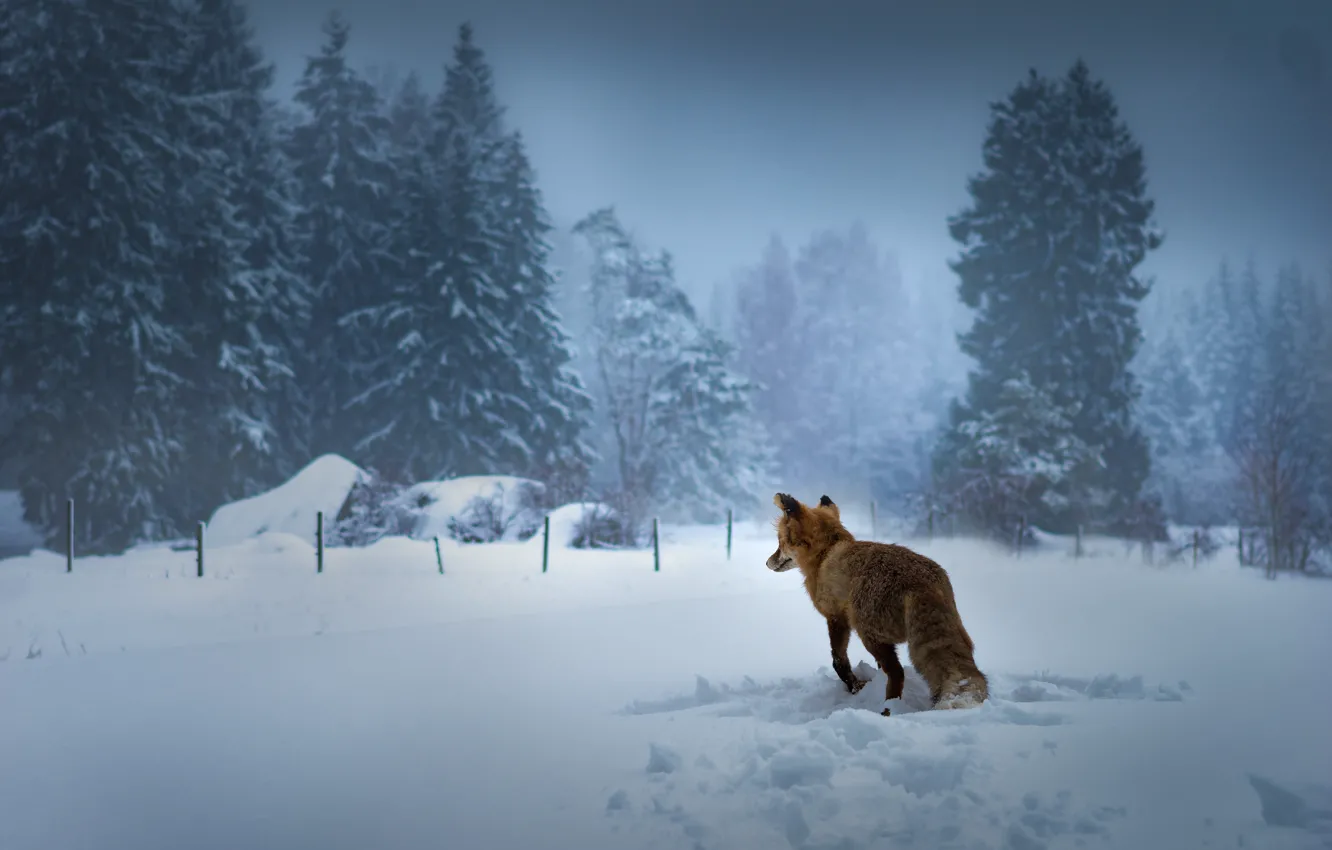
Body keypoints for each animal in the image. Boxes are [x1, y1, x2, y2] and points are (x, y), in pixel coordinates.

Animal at [767, 492, 988, 716]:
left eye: (780, 542)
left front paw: (855, 687)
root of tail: (921, 583)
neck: (826, 555)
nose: (767, 563)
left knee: (897, 672)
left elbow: (839, 661)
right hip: (956, 634)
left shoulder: (836, 618)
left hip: (868, 633)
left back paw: (887, 710)